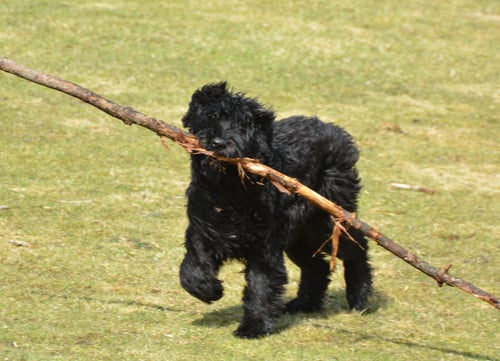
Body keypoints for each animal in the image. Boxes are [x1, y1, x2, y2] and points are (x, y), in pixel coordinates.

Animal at [180, 81, 372, 338]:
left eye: (241, 125)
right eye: (209, 117)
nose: (218, 143)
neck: (229, 190)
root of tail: (335, 131)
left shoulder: (264, 247)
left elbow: (261, 285)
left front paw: (254, 326)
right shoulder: (203, 232)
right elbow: (191, 269)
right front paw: (210, 290)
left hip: (326, 221)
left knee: (357, 248)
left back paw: (360, 298)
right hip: (299, 237)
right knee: (317, 266)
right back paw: (304, 304)